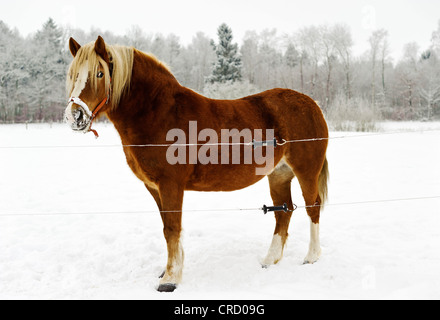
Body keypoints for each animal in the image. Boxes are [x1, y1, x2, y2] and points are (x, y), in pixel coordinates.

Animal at [63, 35, 328, 292]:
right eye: (73, 74)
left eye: (99, 73)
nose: (75, 116)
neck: (160, 114)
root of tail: (312, 104)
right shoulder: (155, 188)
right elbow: (169, 227)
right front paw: (170, 271)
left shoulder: (170, 185)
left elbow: (172, 228)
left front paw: (169, 280)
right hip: (279, 175)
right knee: (284, 211)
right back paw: (269, 260)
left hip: (306, 171)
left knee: (313, 206)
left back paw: (311, 257)